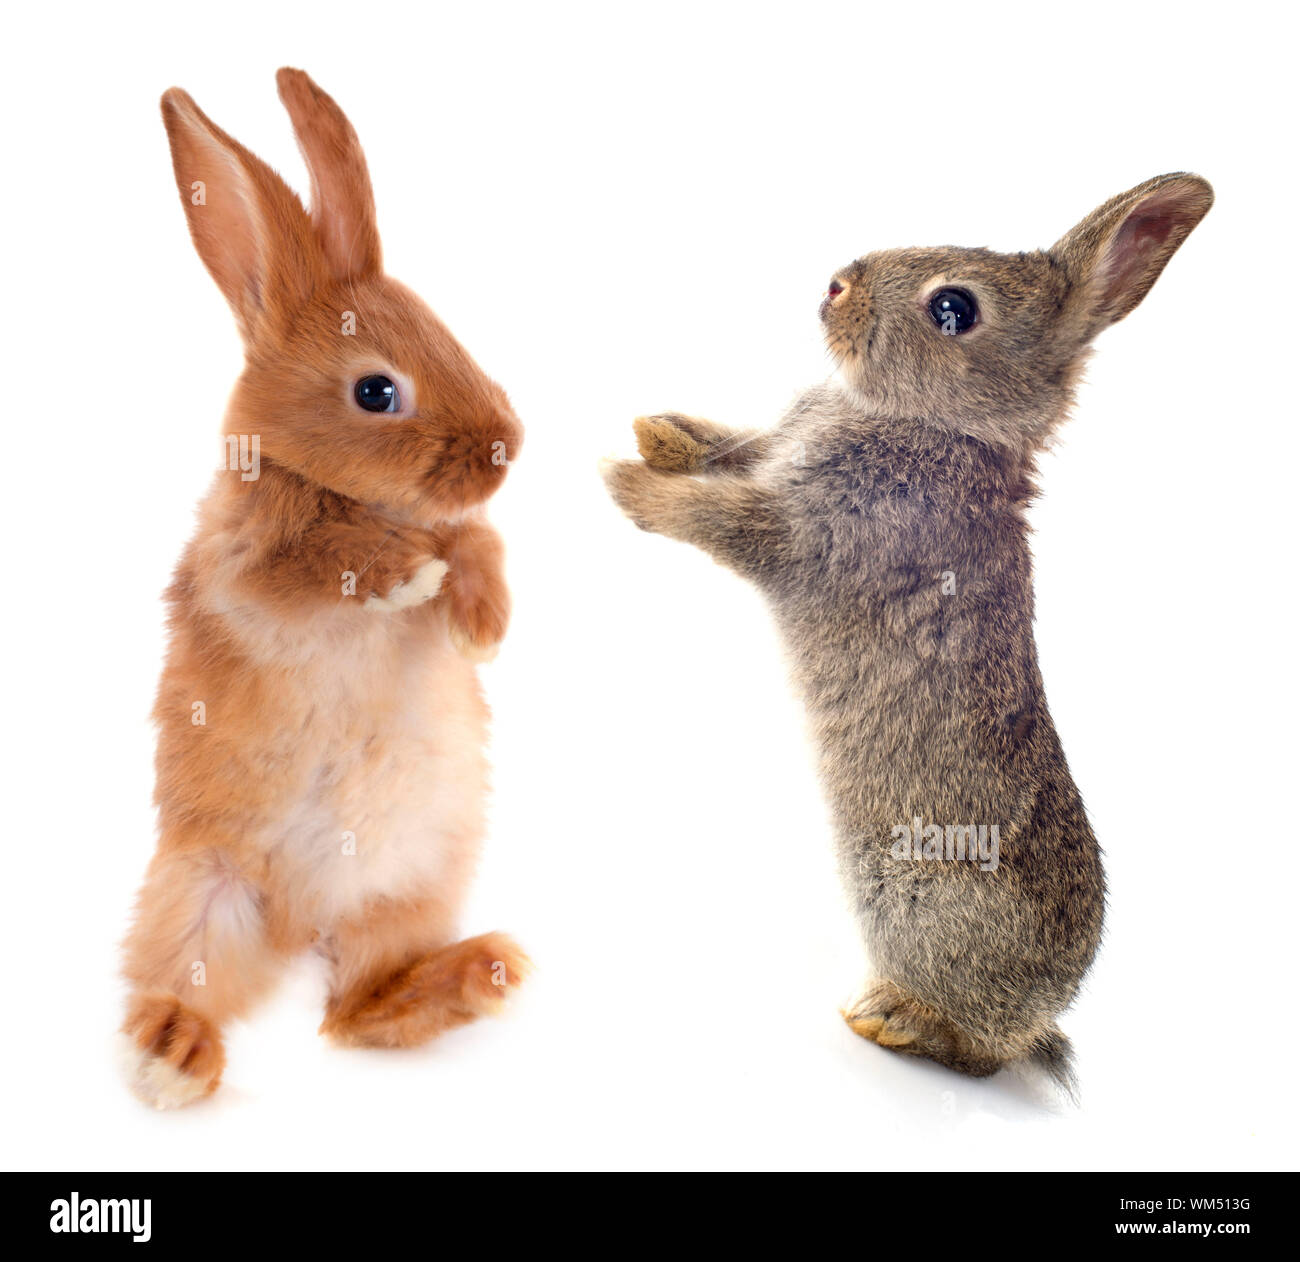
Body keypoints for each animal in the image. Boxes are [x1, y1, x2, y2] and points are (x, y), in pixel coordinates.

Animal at [119, 68, 528, 1109]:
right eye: (376, 391)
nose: (504, 448)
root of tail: (303, 926)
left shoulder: (468, 529)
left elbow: (479, 546)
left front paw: (478, 625)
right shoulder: (242, 567)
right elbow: (310, 570)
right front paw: (402, 575)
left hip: (414, 888)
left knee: (357, 1010)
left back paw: (481, 972)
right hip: (196, 893)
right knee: (192, 986)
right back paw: (172, 1057)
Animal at [603, 173, 1213, 1088]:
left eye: (953, 309)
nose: (835, 284)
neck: (943, 424)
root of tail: (1041, 1012)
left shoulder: (810, 539)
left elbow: (722, 519)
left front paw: (628, 482)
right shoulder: (775, 452)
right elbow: (732, 447)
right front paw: (658, 432)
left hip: (915, 908)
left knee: (981, 1057)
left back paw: (892, 1022)